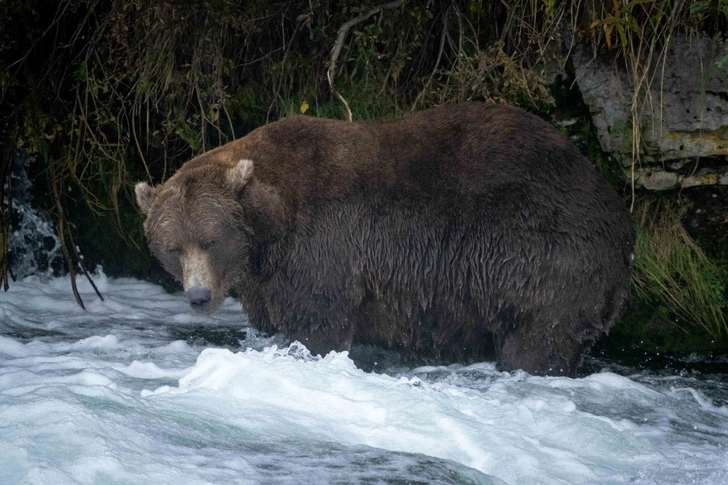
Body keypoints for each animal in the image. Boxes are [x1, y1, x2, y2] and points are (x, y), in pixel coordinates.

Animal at [136, 101, 636, 374]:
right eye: (173, 248)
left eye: (211, 240)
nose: (199, 296)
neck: (269, 229)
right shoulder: (268, 274)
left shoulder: (324, 247)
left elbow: (317, 322)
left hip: (541, 253)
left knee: (538, 335)